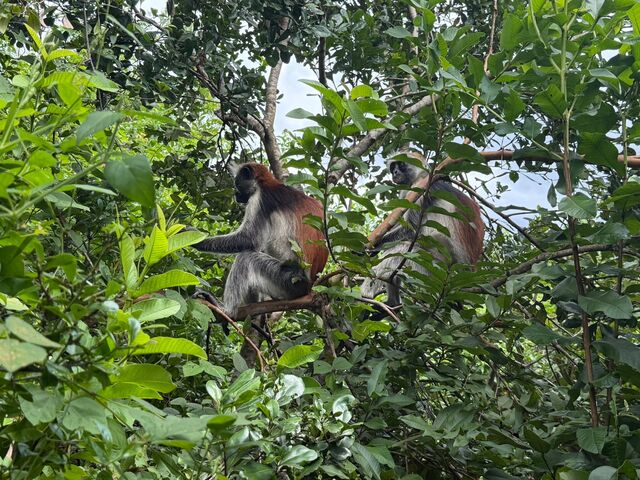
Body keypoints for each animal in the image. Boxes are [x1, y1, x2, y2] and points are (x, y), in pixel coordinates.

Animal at [192, 162, 328, 319]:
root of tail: (309, 285)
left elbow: (249, 240)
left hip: (289, 280)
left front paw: (194, 239)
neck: (268, 184)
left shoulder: (259, 199)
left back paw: (226, 312)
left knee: (246, 258)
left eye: (237, 184)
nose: (235, 194)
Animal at [361, 152, 484, 307]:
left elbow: (411, 230)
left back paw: (366, 294)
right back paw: (392, 303)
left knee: (402, 249)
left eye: (401, 164)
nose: (395, 173)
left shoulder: (423, 188)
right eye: (393, 167)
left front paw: (367, 247)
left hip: (440, 265)